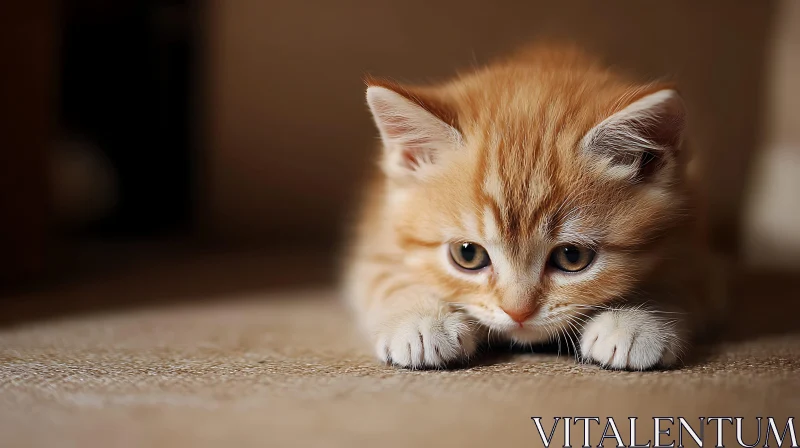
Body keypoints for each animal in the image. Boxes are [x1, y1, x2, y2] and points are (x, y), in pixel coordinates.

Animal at [344, 44, 720, 372]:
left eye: (571, 256)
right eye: (468, 254)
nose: (518, 313)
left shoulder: (698, 246)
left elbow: (678, 282)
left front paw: (635, 322)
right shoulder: (375, 237)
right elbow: (386, 279)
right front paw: (421, 320)